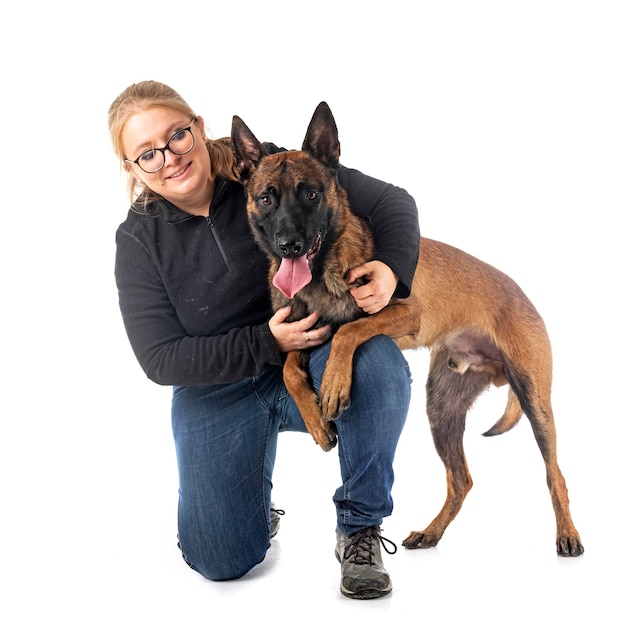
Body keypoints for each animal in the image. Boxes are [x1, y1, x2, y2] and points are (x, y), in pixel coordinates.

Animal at [230, 102, 584, 556]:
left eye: (311, 193)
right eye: (266, 198)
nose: (290, 244)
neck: (321, 275)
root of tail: (523, 294)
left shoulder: (400, 311)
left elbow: (348, 332)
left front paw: (334, 385)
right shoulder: (301, 334)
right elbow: (292, 369)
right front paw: (316, 423)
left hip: (534, 399)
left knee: (555, 474)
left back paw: (568, 535)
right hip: (441, 410)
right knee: (461, 480)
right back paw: (432, 532)